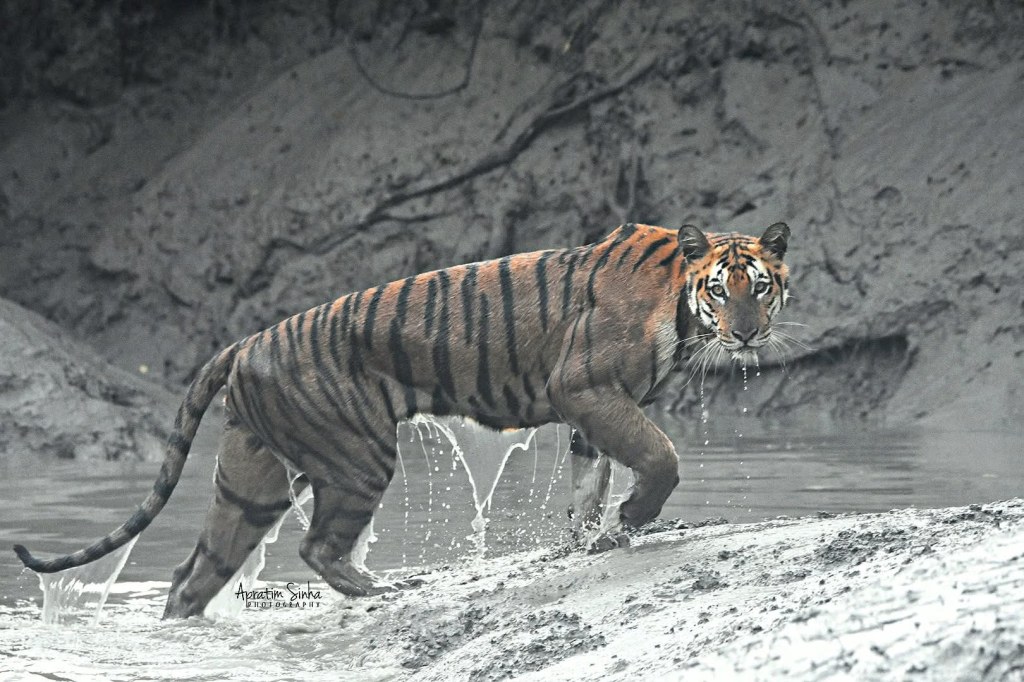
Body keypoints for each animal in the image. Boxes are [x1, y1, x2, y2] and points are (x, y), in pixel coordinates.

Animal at [13, 221, 791, 619]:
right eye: (722, 289)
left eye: (762, 288)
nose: (748, 334)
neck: (680, 301)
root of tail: (246, 342)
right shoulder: (585, 386)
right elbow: (660, 456)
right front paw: (632, 519)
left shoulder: (589, 414)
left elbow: (587, 485)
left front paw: (592, 539)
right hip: (359, 456)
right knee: (316, 549)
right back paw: (384, 588)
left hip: (250, 480)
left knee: (194, 571)